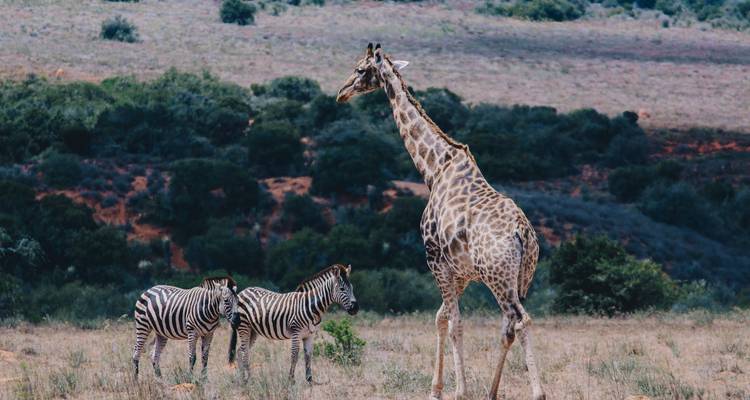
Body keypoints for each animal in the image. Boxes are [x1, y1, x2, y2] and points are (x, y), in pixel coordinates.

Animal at [336, 43, 545, 400]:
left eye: (361, 69)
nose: (341, 93)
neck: (434, 168)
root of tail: (523, 234)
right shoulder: (459, 272)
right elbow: (441, 318)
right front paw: (436, 389)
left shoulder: (434, 258)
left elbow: (455, 322)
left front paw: (459, 391)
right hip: (521, 279)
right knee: (508, 326)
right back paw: (491, 392)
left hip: (498, 277)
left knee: (520, 320)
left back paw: (538, 392)